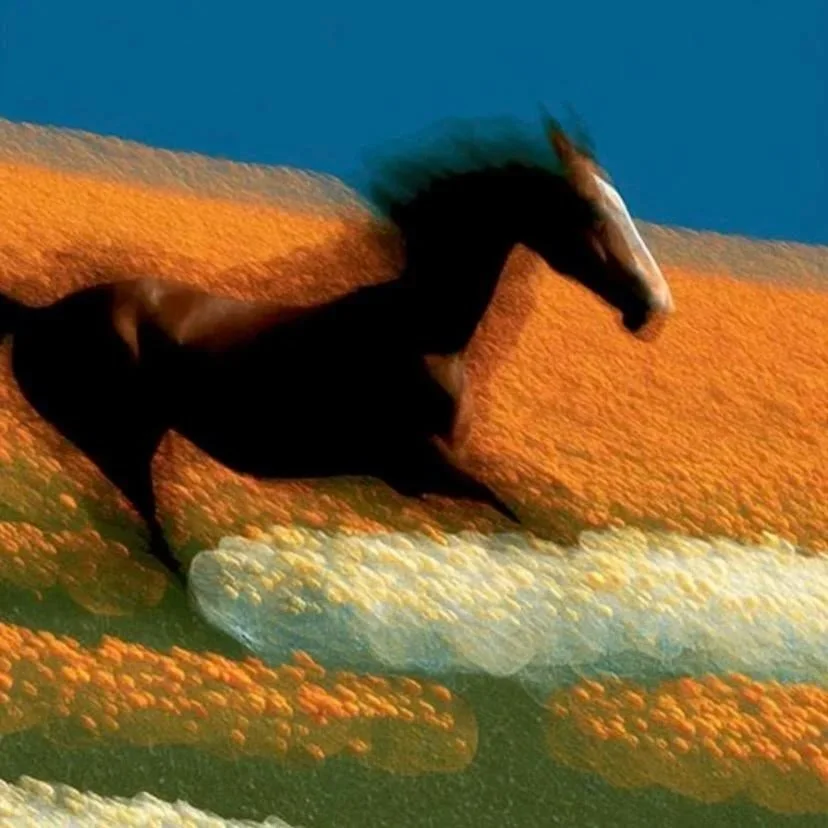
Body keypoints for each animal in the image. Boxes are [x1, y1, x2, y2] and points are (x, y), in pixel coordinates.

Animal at [0, 117, 674, 584]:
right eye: (590, 209)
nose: (654, 306)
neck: (421, 330)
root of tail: (36, 315)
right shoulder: (412, 466)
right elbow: (522, 515)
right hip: (121, 442)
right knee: (150, 528)